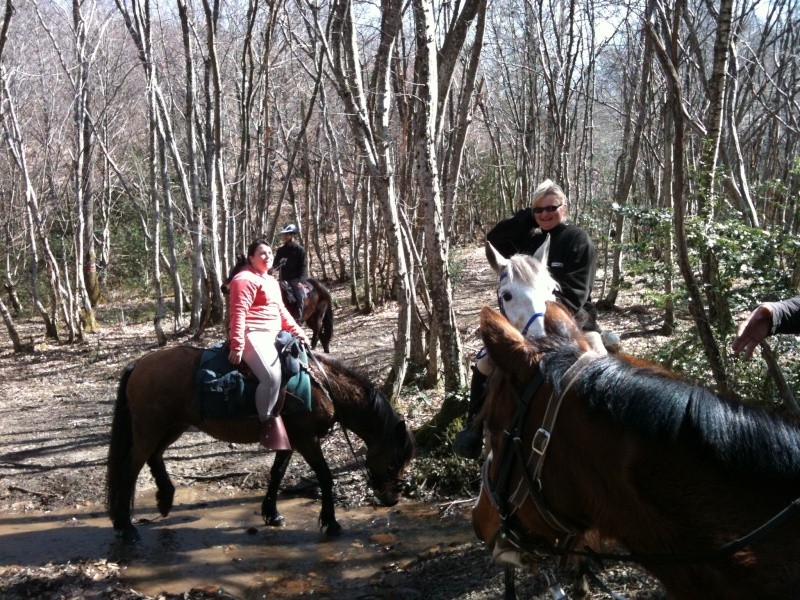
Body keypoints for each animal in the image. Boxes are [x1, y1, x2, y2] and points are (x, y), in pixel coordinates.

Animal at [107, 344, 416, 540]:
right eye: (395, 461)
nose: (394, 498)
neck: (322, 387)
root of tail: (138, 364)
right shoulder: (308, 440)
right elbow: (325, 477)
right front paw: (331, 523)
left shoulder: (291, 440)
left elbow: (276, 474)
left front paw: (272, 514)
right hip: (151, 429)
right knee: (130, 469)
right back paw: (126, 527)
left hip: (172, 426)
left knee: (154, 456)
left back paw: (165, 498)